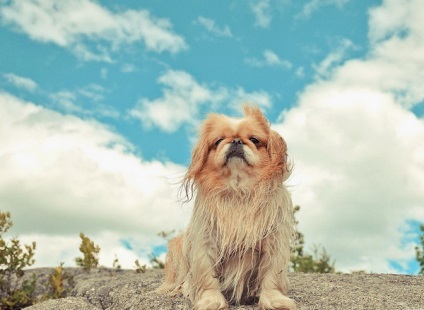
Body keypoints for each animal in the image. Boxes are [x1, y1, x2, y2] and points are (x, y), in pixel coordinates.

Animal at [157, 105, 296, 308]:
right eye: (218, 141)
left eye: (254, 140)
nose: (236, 140)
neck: (238, 190)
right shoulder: (206, 240)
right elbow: (207, 276)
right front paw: (211, 300)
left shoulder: (274, 241)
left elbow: (272, 275)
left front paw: (274, 299)